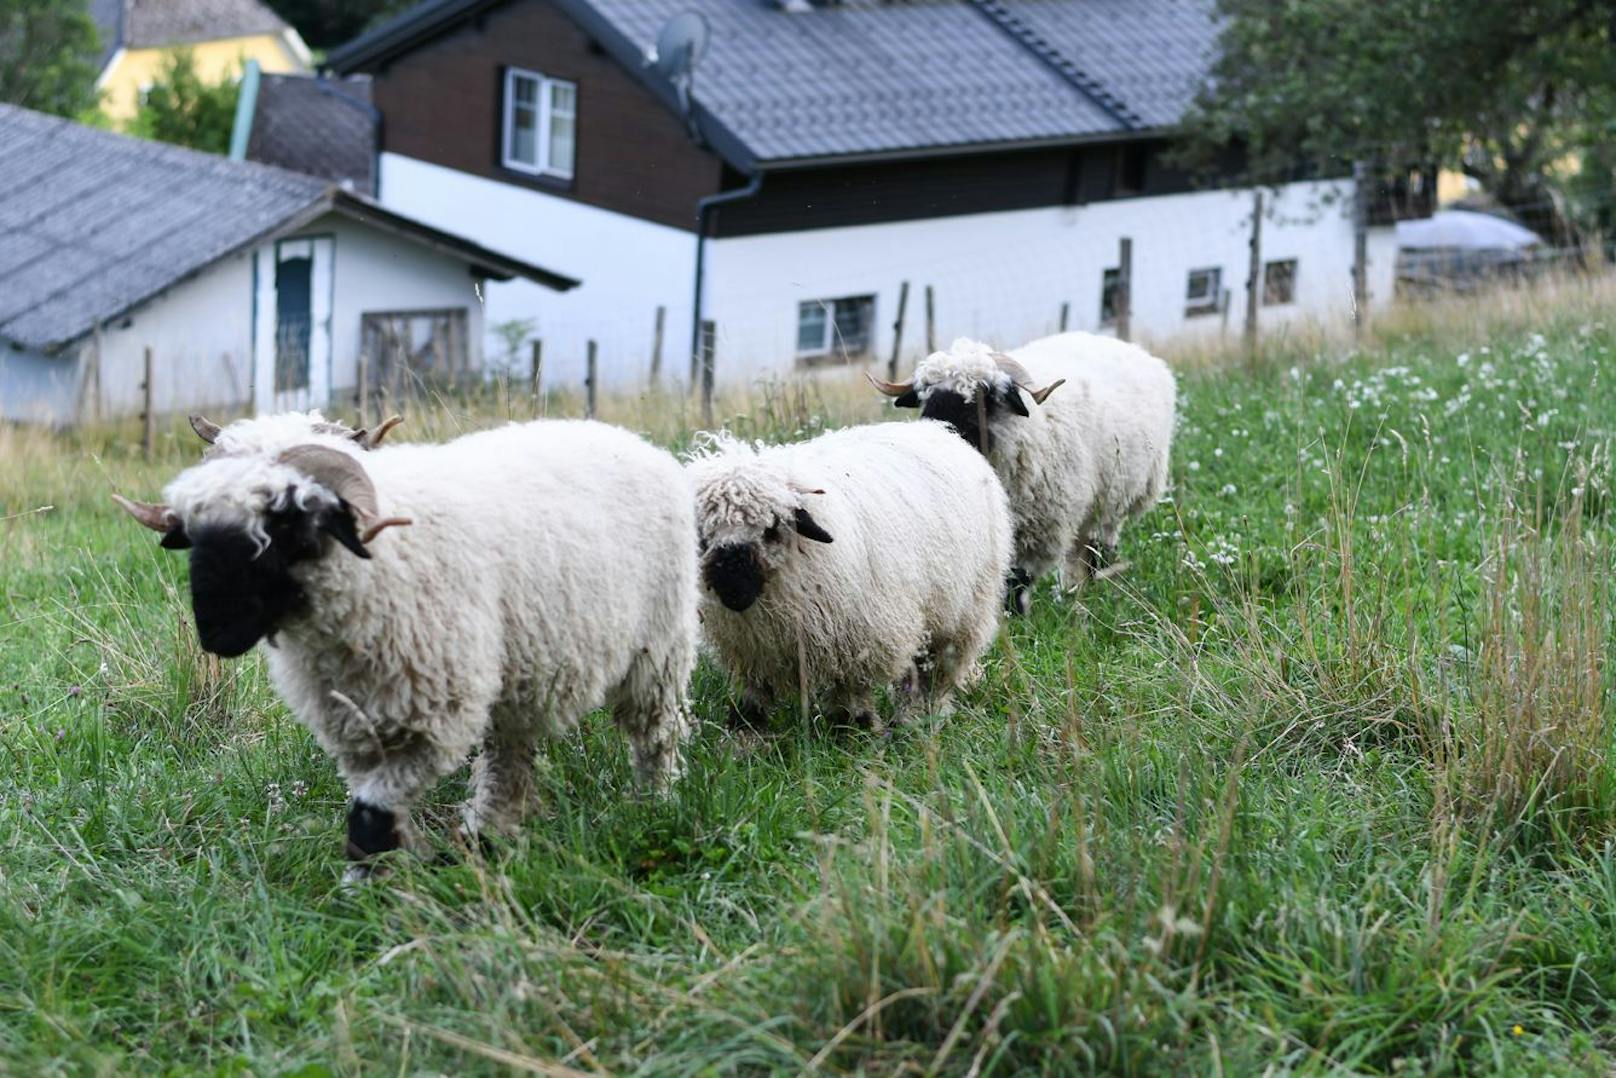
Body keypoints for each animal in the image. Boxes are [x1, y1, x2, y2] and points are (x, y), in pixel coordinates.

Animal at [681, 416, 1008, 730]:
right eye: (702, 538)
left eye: (771, 529)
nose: (734, 592)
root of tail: (938, 429)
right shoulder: (750, 649)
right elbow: (754, 693)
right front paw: (745, 730)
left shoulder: (859, 638)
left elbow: (850, 691)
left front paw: (853, 729)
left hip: (961, 615)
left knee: (934, 673)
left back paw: (919, 717)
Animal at [872, 329, 1176, 614]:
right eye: (927, 393)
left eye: (987, 396)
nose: (939, 432)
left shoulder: (1036, 528)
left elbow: (1016, 580)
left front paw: (1014, 618)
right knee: (1079, 552)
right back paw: (1073, 592)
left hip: (1113, 501)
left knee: (1099, 549)